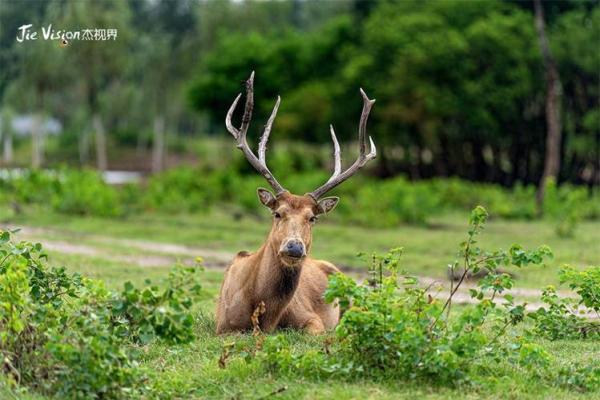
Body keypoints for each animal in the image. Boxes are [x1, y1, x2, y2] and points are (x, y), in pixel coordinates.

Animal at [214, 71, 376, 334]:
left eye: (313, 218)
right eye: (277, 213)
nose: (294, 247)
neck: (265, 317)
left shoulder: (312, 318)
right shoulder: (223, 326)